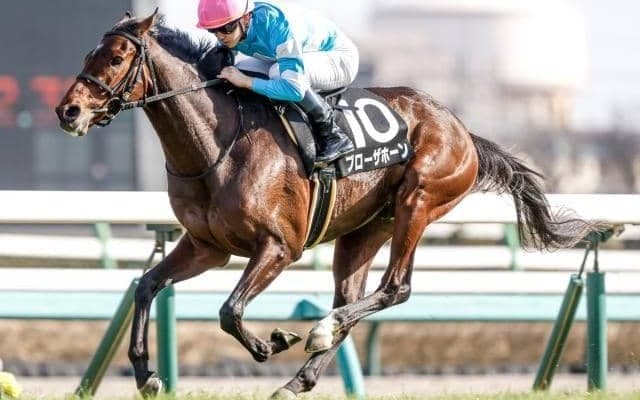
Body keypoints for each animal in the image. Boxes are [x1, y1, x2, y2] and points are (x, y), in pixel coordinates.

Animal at [55, 11, 601, 399]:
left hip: (419, 200)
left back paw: (317, 332)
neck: (217, 144)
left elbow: (230, 310)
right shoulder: (207, 246)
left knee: (394, 288)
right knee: (352, 296)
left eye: (117, 59)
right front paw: (146, 374)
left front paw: (270, 342)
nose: (68, 111)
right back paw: (299, 376)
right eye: (88, 53)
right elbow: (146, 286)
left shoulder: (279, 246)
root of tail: (462, 128)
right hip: (364, 231)